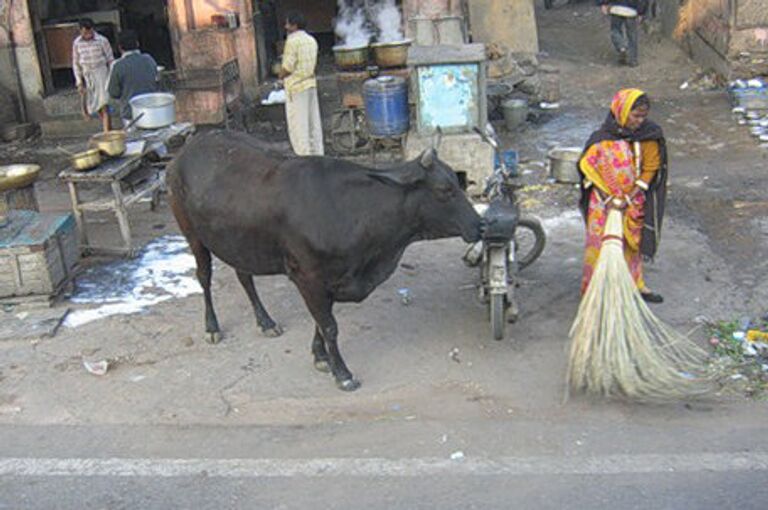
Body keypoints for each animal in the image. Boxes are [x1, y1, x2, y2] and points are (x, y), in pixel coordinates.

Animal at [168, 130, 480, 390]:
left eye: (458, 182)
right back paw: (212, 327)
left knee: (244, 276)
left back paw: (266, 322)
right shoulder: (308, 277)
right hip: (192, 234)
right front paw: (342, 373)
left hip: (237, 242)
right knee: (204, 277)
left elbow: (320, 322)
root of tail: (192, 144)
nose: (481, 225)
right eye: (444, 190)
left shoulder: (331, 279)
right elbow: (329, 325)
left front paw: (320, 356)